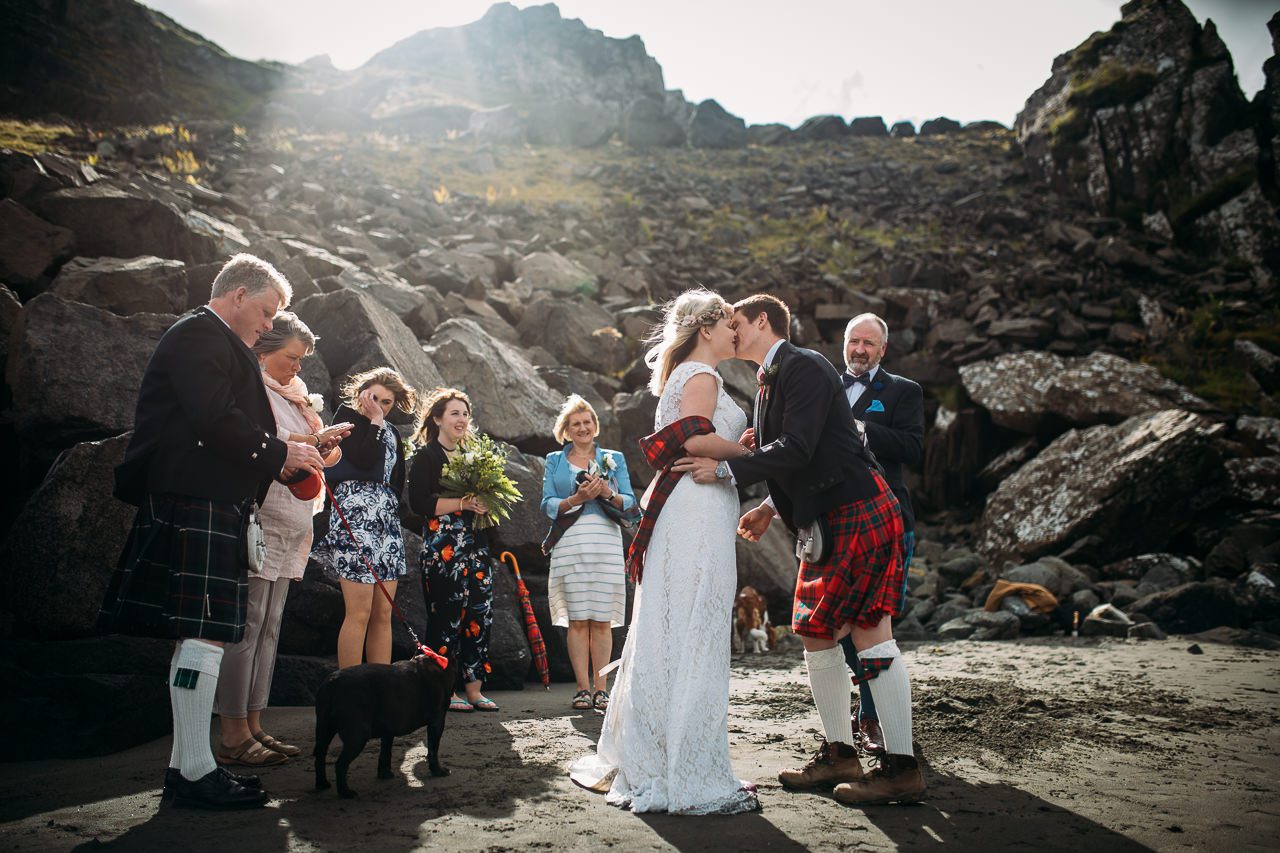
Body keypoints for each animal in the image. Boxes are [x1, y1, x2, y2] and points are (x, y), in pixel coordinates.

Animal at [314, 650, 455, 799]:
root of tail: (332, 682)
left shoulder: (388, 729)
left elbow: (385, 752)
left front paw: (384, 774)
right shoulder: (437, 721)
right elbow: (433, 750)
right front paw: (438, 771)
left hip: (324, 729)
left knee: (320, 756)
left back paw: (322, 784)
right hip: (357, 736)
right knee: (340, 764)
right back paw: (345, 792)